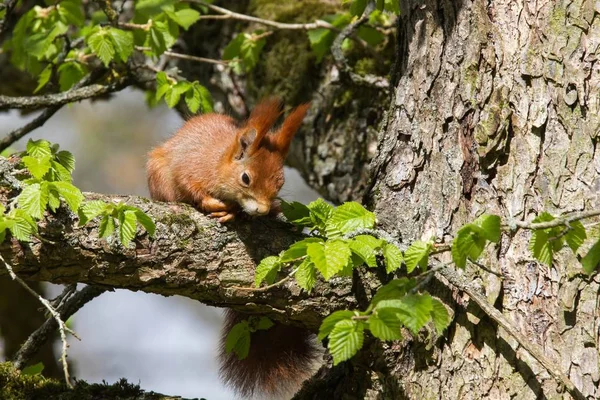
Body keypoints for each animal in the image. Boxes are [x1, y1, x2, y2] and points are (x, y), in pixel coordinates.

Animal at [145, 98, 318, 398]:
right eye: (246, 178)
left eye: (280, 183)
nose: (262, 210)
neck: (218, 162)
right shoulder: (190, 167)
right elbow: (190, 186)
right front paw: (214, 204)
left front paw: (238, 212)